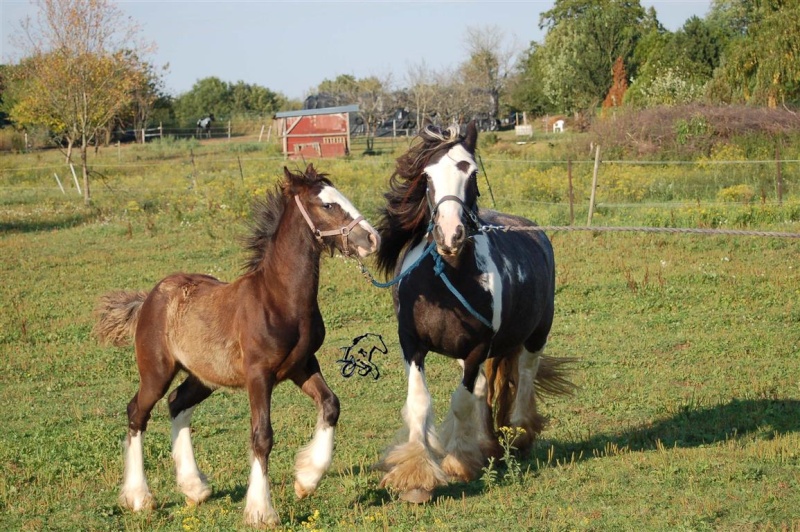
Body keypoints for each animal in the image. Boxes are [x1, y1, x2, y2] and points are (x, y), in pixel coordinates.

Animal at [376, 123, 576, 502]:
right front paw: (416, 478)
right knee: (486, 387)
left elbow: (461, 402)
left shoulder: (476, 349)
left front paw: (457, 463)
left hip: (536, 334)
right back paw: (487, 445)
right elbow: (420, 402)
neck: (446, 281)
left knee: (525, 375)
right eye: (427, 176)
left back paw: (520, 434)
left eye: (472, 173)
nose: (450, 235)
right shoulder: (412, 345)